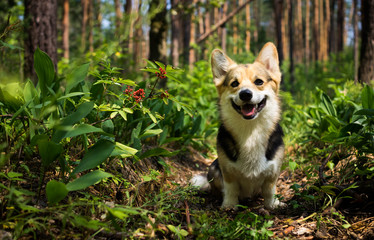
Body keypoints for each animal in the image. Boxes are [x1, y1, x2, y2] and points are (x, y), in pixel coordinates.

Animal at [193, 43, 286, 210]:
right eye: (234, 84)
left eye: (259, 82)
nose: (245, 94)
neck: (250, 130)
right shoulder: (227, 171)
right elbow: (231, 189)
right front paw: (229, 206)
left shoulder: (273, 172)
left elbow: (270, 191)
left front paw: (272, 205)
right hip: (213, 167)